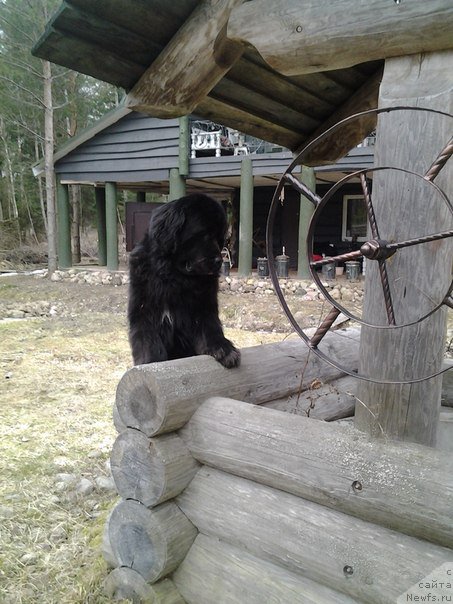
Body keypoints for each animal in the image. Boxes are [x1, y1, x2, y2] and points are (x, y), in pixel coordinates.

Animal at [127, 196, 240, 370]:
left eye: (219, 237)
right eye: (204, 234)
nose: (219, 261)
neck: (174, 278)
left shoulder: (204, 308)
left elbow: (211, 328)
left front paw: (224, 349)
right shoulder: (143, 313)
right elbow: (149, 344)